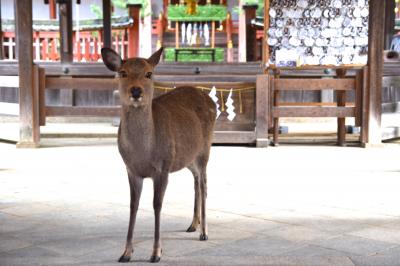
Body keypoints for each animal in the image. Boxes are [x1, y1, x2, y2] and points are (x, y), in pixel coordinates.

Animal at [101, 46, 217, 262]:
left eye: (149, 73)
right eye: (123, 73)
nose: (136, 91)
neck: (143, 153)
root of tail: (209, 99)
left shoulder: (162, 168)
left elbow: (157, 205)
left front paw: (156, 253)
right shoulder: (131, 170)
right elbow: (133, 205)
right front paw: (126, 253)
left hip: (205, 150)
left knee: (204, 184)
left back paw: (204, 232)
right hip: (187, 157)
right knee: (196, 181)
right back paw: (193, 224)